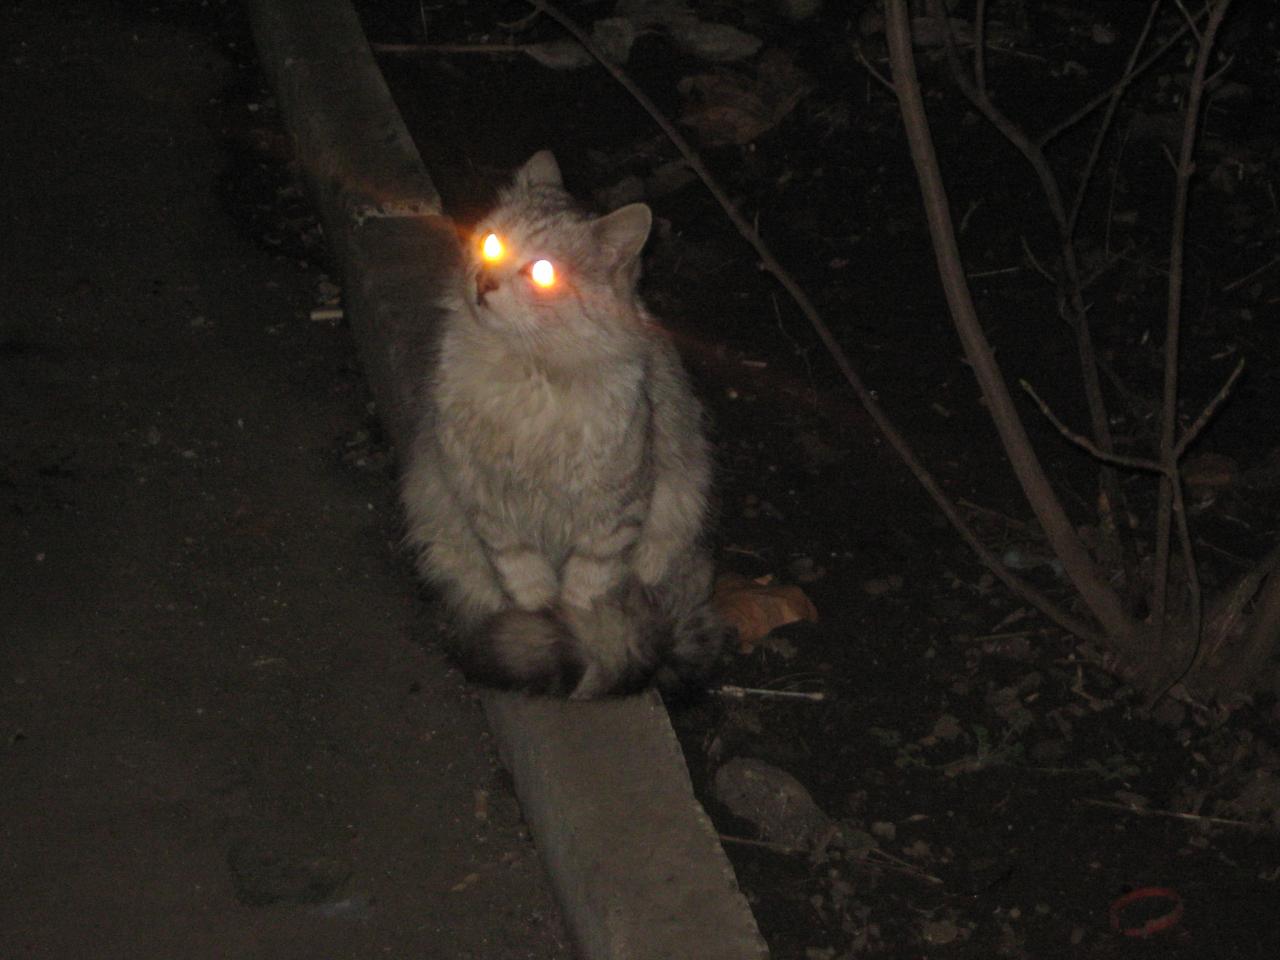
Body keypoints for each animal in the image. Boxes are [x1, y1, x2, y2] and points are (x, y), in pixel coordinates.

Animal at [399, 150, 722, 699]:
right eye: (491, 243)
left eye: (543, 271)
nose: (484, 283)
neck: (532, 374)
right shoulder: (487, 504)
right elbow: (527, 584)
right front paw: (539, 621)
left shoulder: (613, 515)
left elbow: (584, 596)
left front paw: (572, 632)